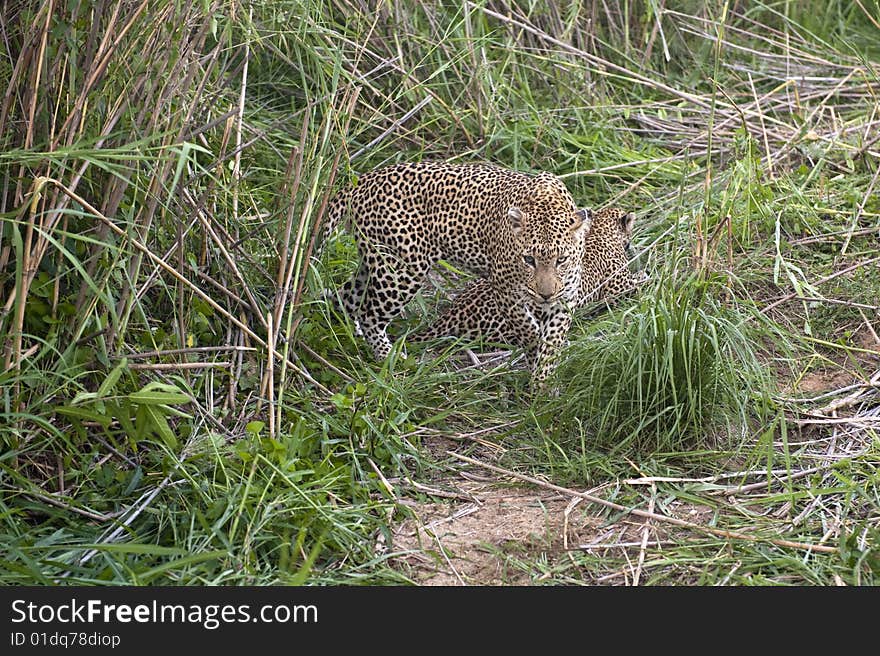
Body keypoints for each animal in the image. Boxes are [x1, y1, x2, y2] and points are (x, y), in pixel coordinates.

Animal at [324, 160, 592, 384]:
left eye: (561, 260)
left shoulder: (565, 298)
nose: (545, 295)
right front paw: (534, 353)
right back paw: (390, 359)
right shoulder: (506, 291)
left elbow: (552, 340)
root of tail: (364, 180)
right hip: (402, 268)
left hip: (373, 263)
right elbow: (527, 329)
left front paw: (543, 380)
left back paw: (352, 339)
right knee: (369, 314)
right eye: (529, 260)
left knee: (344, 299)